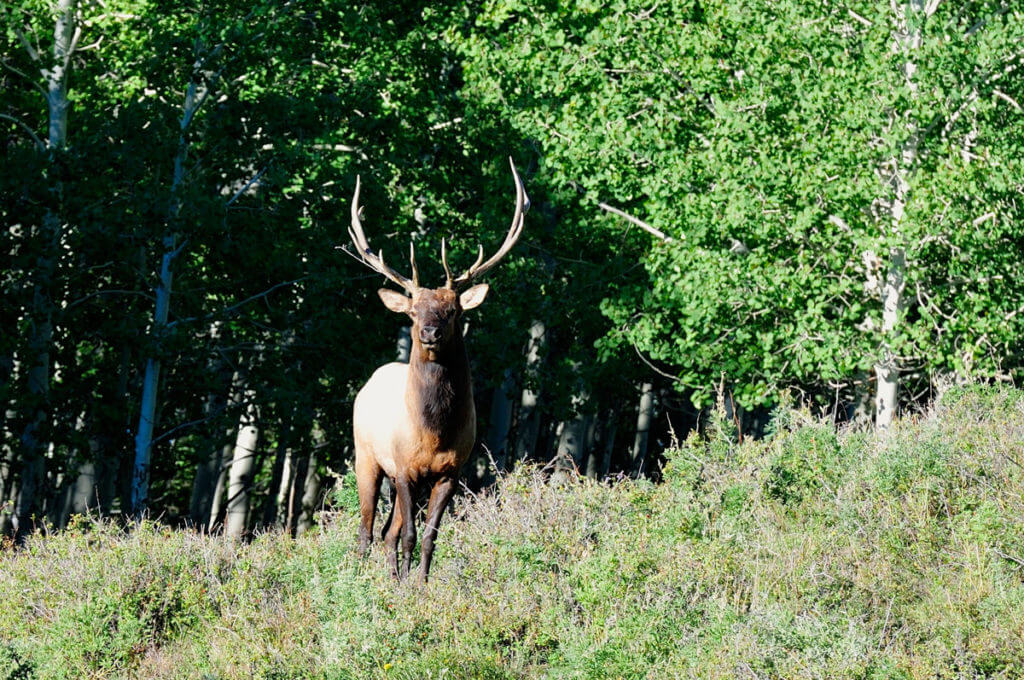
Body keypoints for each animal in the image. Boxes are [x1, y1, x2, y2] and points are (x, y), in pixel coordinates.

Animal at [350, 156, 532, 581]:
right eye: (414, 311)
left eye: (453, 311)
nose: (430, 332)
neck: (434, 434)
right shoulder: (403, 467)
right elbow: (410, 536)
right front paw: (404, 586)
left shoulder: (451, 472)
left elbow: (429, 537)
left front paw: (418, 584)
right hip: (366, 457)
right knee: (367, 530)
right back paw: (358, 577)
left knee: (386, 532)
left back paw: (389, 576)